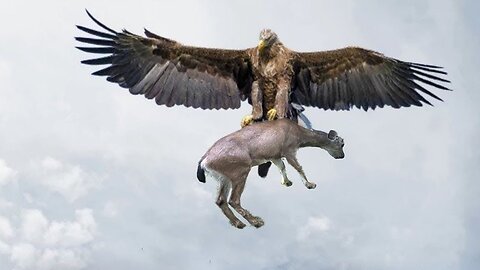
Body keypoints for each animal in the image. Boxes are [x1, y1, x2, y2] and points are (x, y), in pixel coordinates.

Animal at [196, 118, 344, 228]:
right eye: (342, 143)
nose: (341, 156)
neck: (299, 134)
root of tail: (204, 162)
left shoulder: (274, 155)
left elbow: (281, 167)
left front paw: (287, 182)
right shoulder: (288, 150)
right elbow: (298, 167)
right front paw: (309, 184)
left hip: (223, 178)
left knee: (220, 200)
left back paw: (239, 224)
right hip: (240, 170)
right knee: (233, 200)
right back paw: (256, 221)